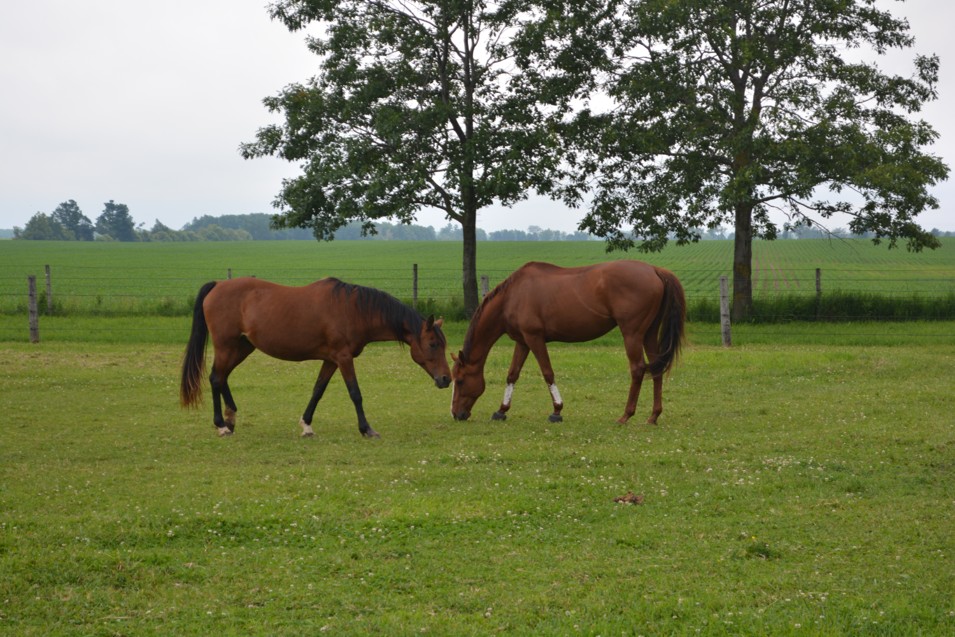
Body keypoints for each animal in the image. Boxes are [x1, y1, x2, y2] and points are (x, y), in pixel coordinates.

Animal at [180, 277, 451, 438]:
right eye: (433, 344)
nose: (446, 379)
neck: (353, 310)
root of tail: (217, 285)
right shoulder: (343, 358)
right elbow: (355, 393)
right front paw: (366, 429)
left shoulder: (331, 360)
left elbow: (318, 390)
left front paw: (306, 425)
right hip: (227, 347)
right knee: (216, 378)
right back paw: (222, 425)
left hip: (242, 347)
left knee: (222, 377)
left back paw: (231, 418)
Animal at [450, 261, 685, 424]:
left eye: (460, 381)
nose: (456, 414)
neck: (512, 296)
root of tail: (654, 269)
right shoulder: (523, 342)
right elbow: (512, 375)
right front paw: (501, 410)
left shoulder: (535, 338)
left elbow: (547, 373)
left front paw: (557, 411)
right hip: (648, 334)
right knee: (656, 368)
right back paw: (653, 416)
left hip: (632, 334)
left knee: (638, 369)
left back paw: (625, 415)